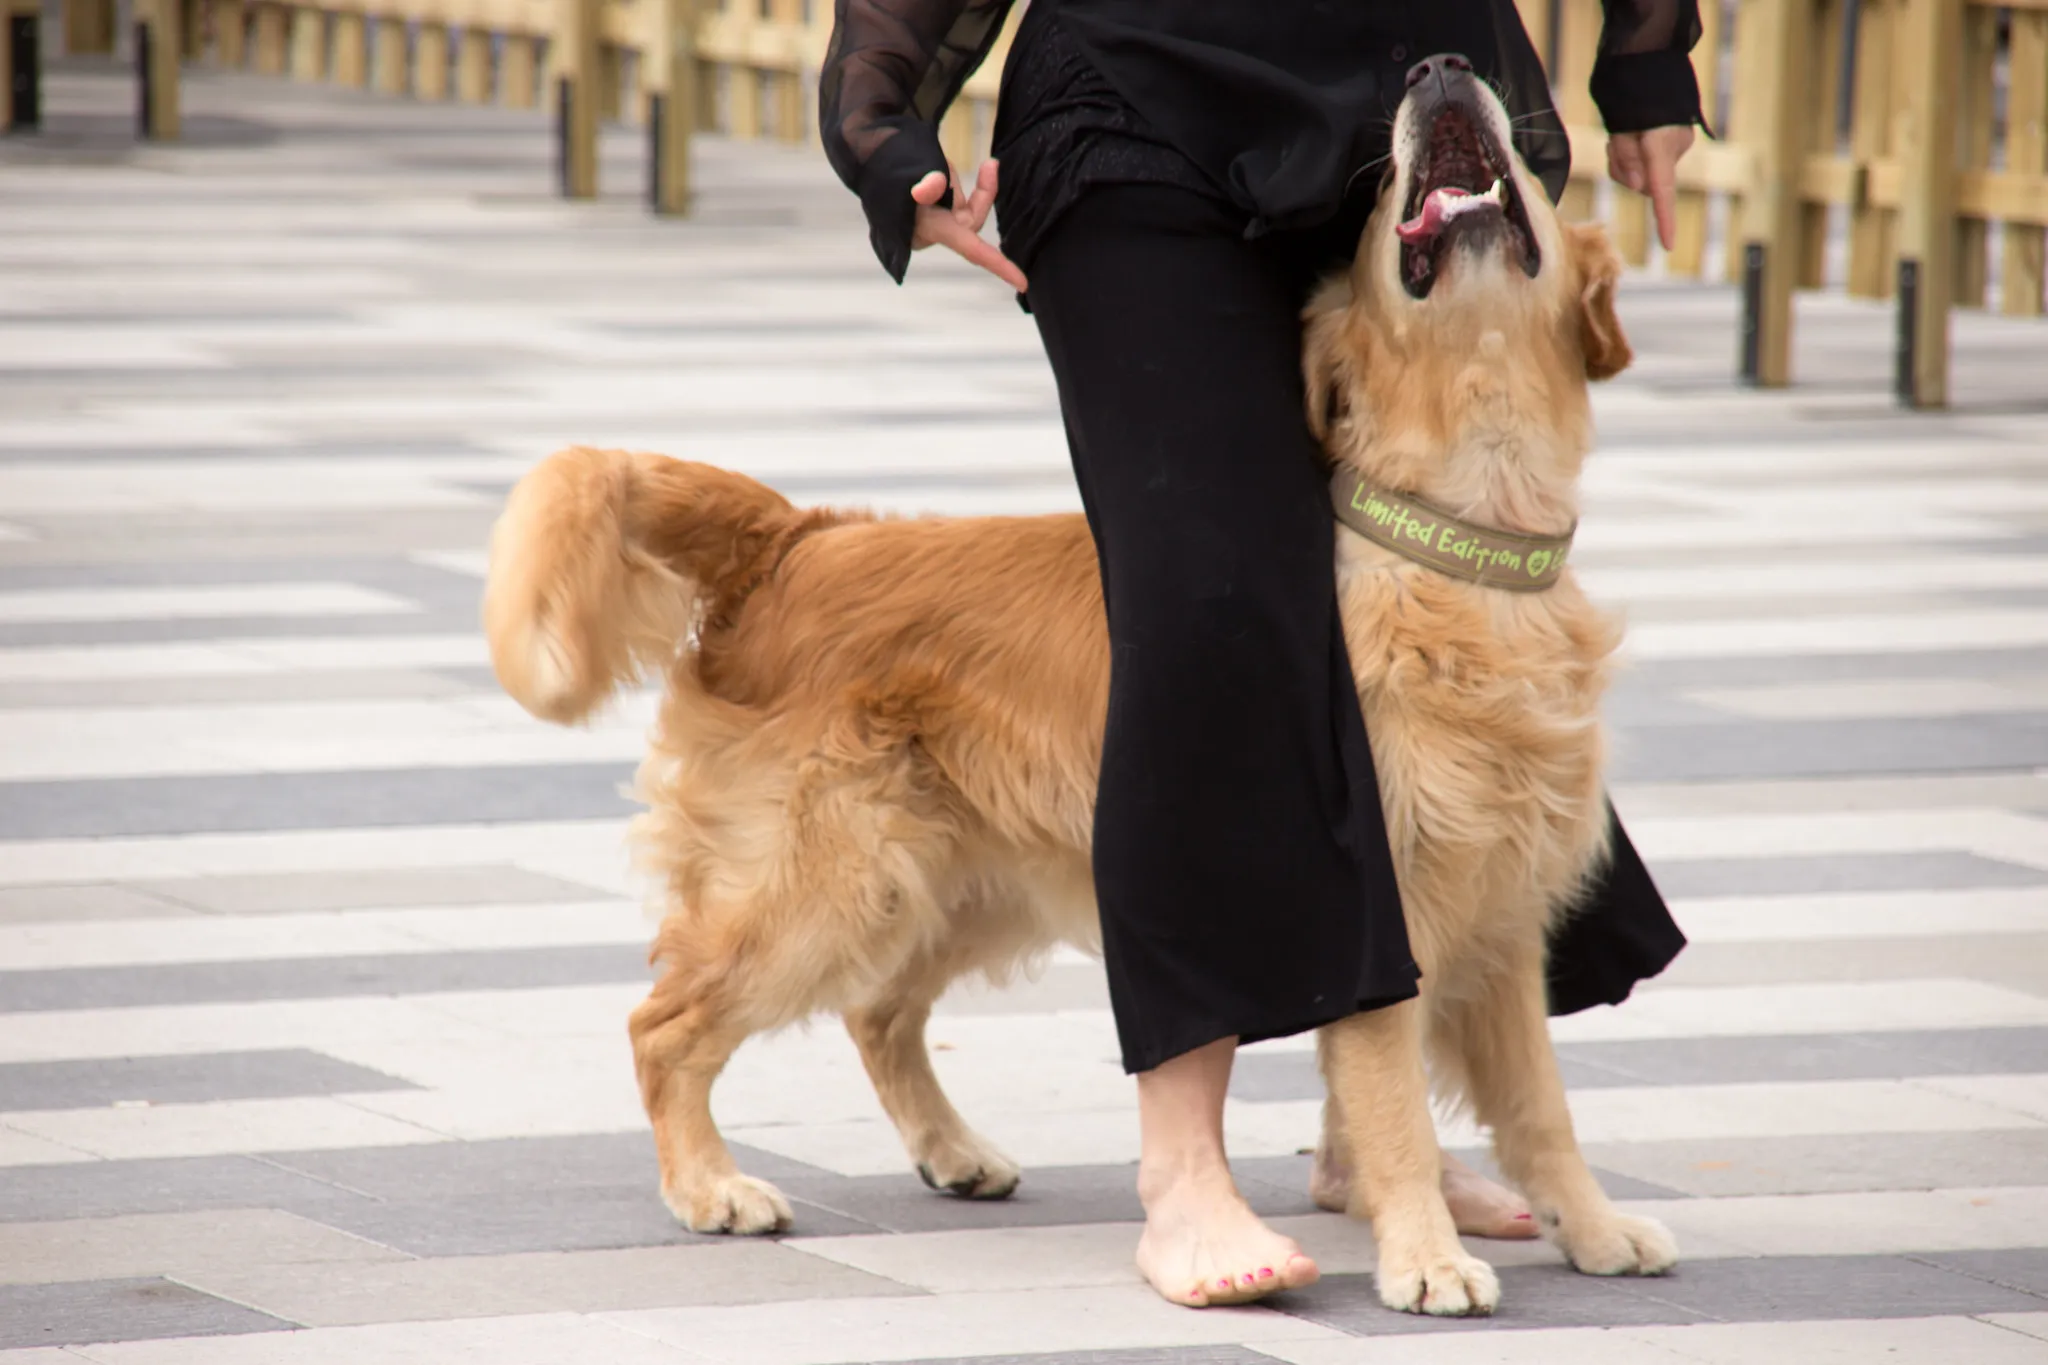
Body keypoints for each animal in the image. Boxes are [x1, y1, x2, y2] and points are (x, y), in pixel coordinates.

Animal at [483, 61, 1679, 1309]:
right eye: (1370, 207)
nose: (1437, 69)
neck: (1457, 553)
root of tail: (798, 540)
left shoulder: (1500, 922)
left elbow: (1539, 1106)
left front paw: (1589, 1227)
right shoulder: (1369, 904)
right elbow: (1393, 1097)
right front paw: (1424, 1255)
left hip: (953, 882)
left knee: (875, 1009)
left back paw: (951, 1152)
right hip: (824, 886)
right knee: (663, 1023)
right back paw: (709, 1185)